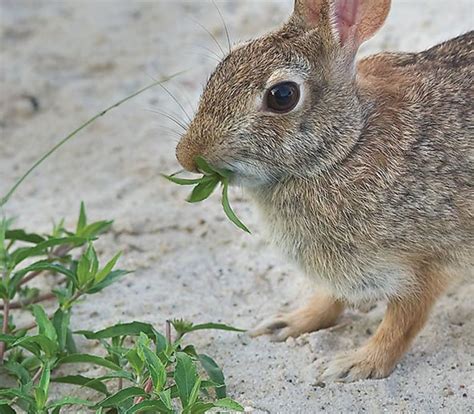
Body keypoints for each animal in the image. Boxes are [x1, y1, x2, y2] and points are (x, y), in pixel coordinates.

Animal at [175, 0, 474, 382]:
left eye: (282, 96)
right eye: (226, 63)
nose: (186, 155)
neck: (347, 146)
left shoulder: (425, 264)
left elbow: (401, 323)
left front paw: (357, 364)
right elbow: (329, 299)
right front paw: (287, 324)